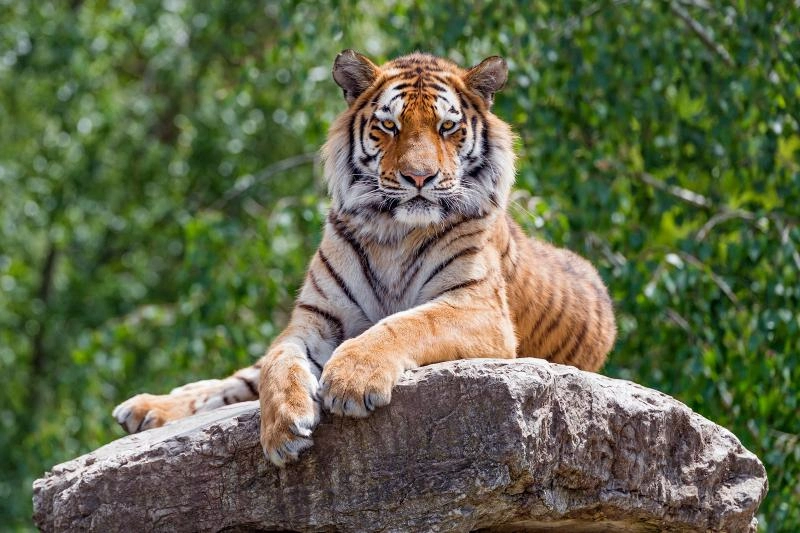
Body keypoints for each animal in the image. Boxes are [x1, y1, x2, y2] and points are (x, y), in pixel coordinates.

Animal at [112, 50, 616, 467]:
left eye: (447, 128)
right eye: (389, 126)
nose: (419, 177)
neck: (394, 232)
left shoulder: (478, 309)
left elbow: (406, 323)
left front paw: (351, 380)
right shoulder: (314, 318)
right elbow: (279, 361)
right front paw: (282, 428)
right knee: (234, 382)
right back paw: (145, 408)